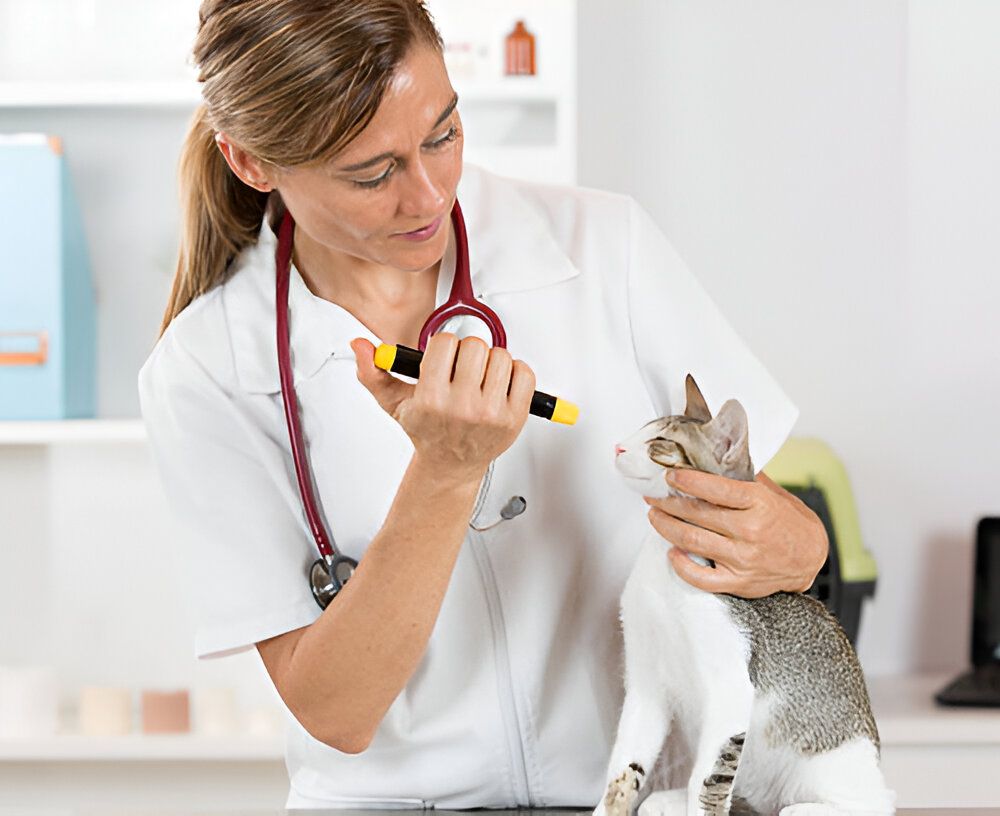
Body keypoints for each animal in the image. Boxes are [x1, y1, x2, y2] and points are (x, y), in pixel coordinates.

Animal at [592, 374, 900, 816]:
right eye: (641, 429)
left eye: (660, 443)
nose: (618, 445)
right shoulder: (646, 683)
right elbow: (624, 769)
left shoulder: (731, 687)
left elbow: (707, 781)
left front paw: (701, 805)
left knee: (861, 805)